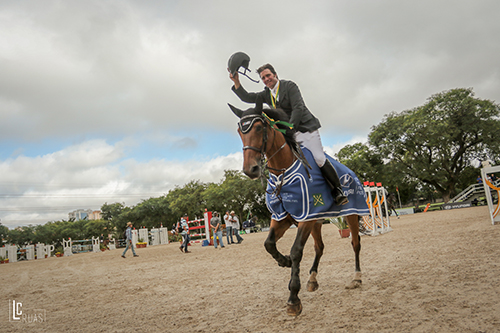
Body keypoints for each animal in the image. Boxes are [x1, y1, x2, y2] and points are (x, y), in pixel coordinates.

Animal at [230, 99, 364, 316]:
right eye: (240, 131)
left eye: (258, 127)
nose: (251, 169)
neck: (282, 172)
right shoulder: (283, 218)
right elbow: (269, 244)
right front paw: (283, 261)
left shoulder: (305, 218)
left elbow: (296, 251)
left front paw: (293, 298)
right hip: (318, 221)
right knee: (319, 247)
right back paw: (312, 279)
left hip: (350, 215)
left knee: (355, 243)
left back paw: (357, 278)